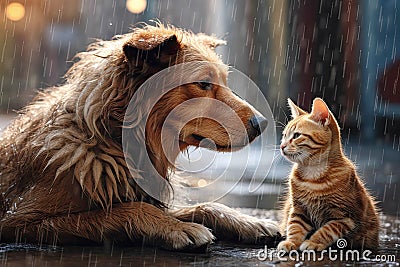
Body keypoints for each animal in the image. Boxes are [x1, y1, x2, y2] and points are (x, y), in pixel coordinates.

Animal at [0, 23, 278, 251]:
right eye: (203, 83)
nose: (262, 123)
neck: (112, 141)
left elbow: (207, 206)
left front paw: (251, 222)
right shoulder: (19, 220)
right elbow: (126, 209)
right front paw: (178, 228)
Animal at [276, 98, 380, 253]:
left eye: (296, 135)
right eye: (284, 136)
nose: (282, 146)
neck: (312, 174)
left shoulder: (344, 217)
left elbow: (327, 230)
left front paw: (313, 242)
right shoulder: (299, 210)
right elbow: (294, 227)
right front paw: (291, 242)